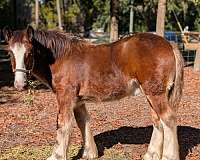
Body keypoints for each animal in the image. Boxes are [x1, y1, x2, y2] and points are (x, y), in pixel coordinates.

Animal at [3, 25, 184, 159]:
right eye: (10, 52)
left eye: (29, 52)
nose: (20, 84)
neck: (61, 57)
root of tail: (169, 44)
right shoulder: (78, 101)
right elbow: (83, 122)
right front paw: (90, 153)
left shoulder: (65, 97)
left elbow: (62, 124)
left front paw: (57, 155)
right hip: (152, 94)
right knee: (157, 120)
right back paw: (151, 154)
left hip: (155, 94)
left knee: (168, 119)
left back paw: (168, 156)